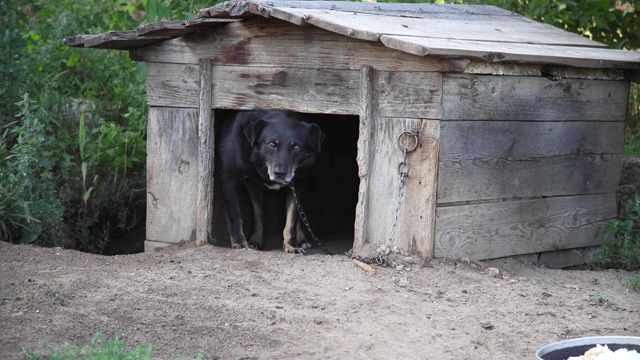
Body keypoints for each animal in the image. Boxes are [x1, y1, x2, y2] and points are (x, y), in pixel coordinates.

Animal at [218, 109, 324, 253]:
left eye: (296, 147)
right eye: (272, 144)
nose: (280, 173)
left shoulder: (298, 183)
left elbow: (292, 217)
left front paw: (291, 245)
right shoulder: (229, 179)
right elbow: (234, 215)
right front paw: (239, 242)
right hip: (252, 184)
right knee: (260, 212)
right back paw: (255, 240)